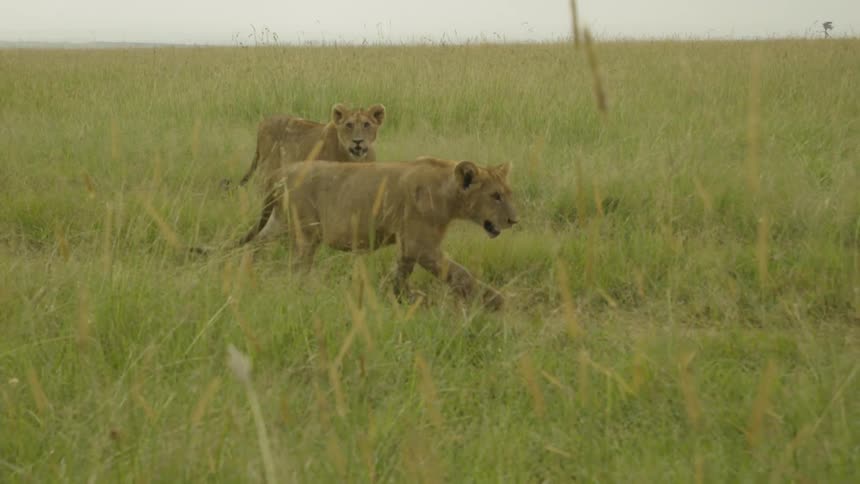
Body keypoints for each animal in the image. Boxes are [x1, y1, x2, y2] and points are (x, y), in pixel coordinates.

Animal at [231, 103, 386, 244]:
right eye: (349, 125)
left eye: (366, 124)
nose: (358, 141)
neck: (354, 159)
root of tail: (263, 122)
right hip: (269, 169)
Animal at [245, 156, 518, 309]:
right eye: (495, 196)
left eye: (508, 194)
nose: (514, 220)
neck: (448, 192)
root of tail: (280, 172)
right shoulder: (421, 245)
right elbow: (460, 274)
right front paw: (497, 302)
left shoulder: (409, 245)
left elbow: (399, 275)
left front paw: (401, 298)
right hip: (306, 232)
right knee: (298, 267)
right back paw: (304, 292)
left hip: (279, 222)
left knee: (256, 243)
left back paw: (249, 272)